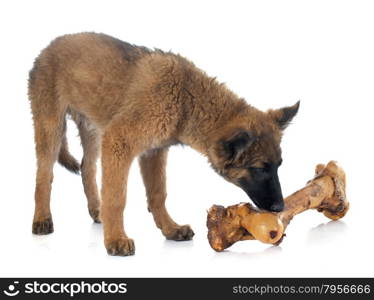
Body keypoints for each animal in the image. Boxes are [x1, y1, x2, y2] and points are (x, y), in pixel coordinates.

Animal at [28, 32, 298, 255]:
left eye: (279, 166)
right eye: (259, 169)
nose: (279, 207)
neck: (186, 99)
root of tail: (49, 46)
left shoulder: (154, 152)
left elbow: (158, 194)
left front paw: (170, 229)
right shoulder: (119, 142)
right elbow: (117, 197)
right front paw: (115, 239)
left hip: (93, 130)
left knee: (87, 168)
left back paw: (97, 210)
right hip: (52, 127)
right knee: (44, 175)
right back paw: (42, 218)